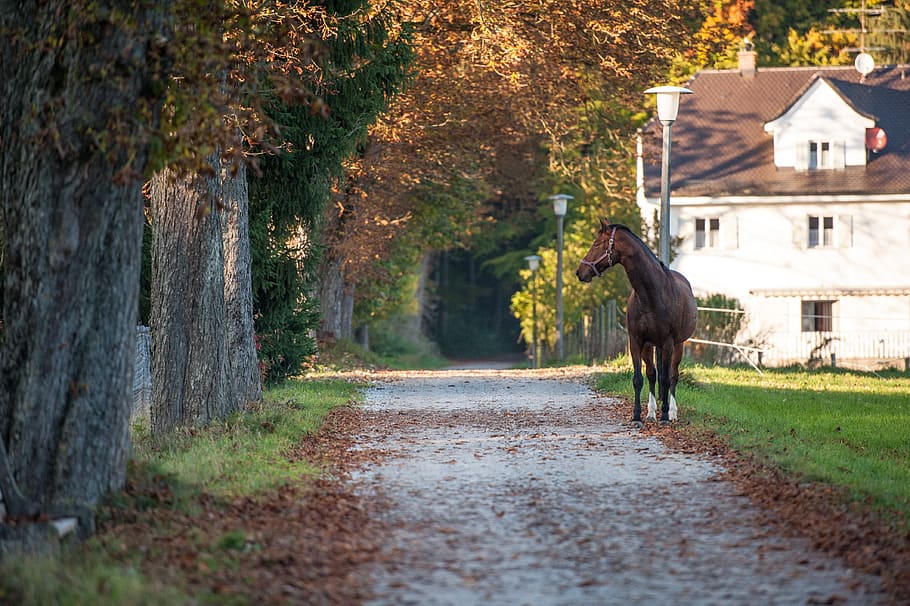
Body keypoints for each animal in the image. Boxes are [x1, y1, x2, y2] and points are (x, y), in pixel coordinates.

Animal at [576, 220, 697, 427]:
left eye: (596, 244)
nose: (580, 272)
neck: (652, 294)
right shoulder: (636, 341)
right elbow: (639, 379)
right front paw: (637, 416)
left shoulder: (667, 343)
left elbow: (666, 379)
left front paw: (665, 416)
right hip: (649, 346)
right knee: (652, 374)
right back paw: (651, 412)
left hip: (678, 344)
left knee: (673, 375)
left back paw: (672, 412)